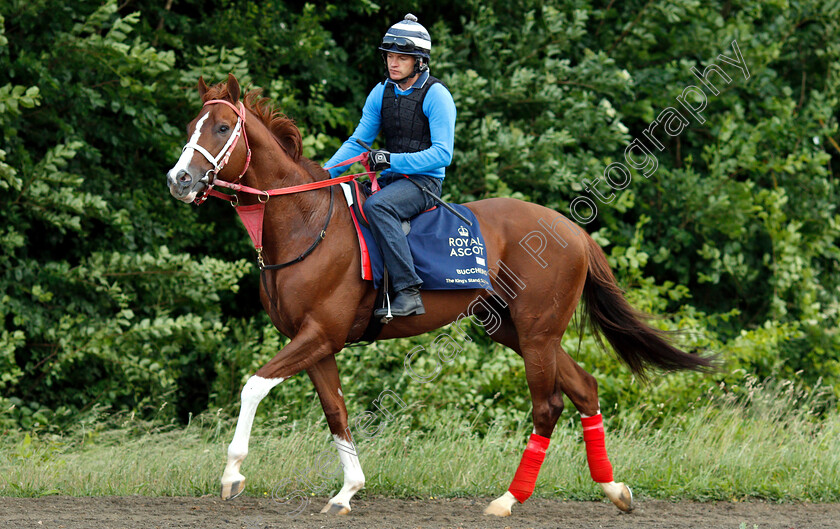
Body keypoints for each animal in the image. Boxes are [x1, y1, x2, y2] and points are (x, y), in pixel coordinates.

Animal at [164, 74, 708, 516]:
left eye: (220, 128)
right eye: (193, 124)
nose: (179, 179)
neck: (306, 223)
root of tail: (573, 231)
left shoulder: (319, 334)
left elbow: (253, 386)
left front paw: (233, 473)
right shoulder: (315, 342)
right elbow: (336, 411)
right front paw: (347, 491)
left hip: (537, 335)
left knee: (548, 405)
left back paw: (508, 499)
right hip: (516, 331)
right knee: (585, 387)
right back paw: (614, 490)